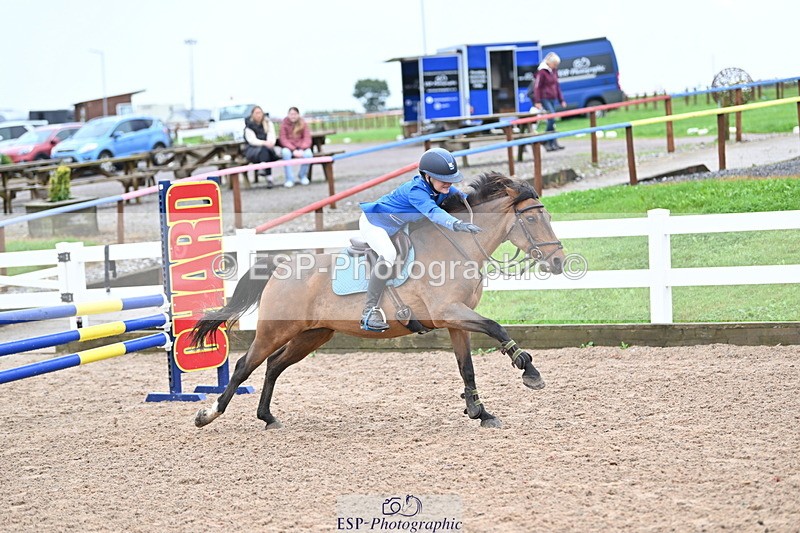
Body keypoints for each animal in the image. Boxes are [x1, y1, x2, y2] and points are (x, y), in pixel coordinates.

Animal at [192, 171, 566, 429]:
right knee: (245, 366)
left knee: (273, 366)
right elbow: (497, 328)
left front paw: (480, 412)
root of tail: (280, 267)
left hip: (312, 334)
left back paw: (267, 417)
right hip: (275, 330)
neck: (455, 248)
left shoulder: (455, 320)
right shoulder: (450, 312)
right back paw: (208, 414)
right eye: (532, 218)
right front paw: (529, 370)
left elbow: (467, 368)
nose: (559, 262)